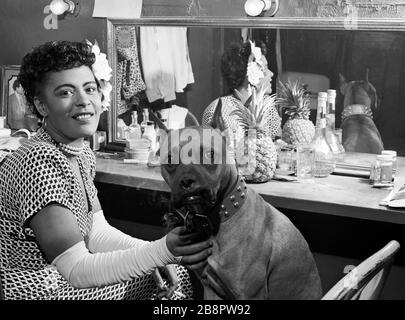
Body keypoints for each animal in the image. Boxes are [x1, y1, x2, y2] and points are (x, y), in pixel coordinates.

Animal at [158, 102, 322, 300]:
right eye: (169, 160)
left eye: (209, 154)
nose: (186, 181)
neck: (220, 215)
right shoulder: (211, 289)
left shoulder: (251, 294)